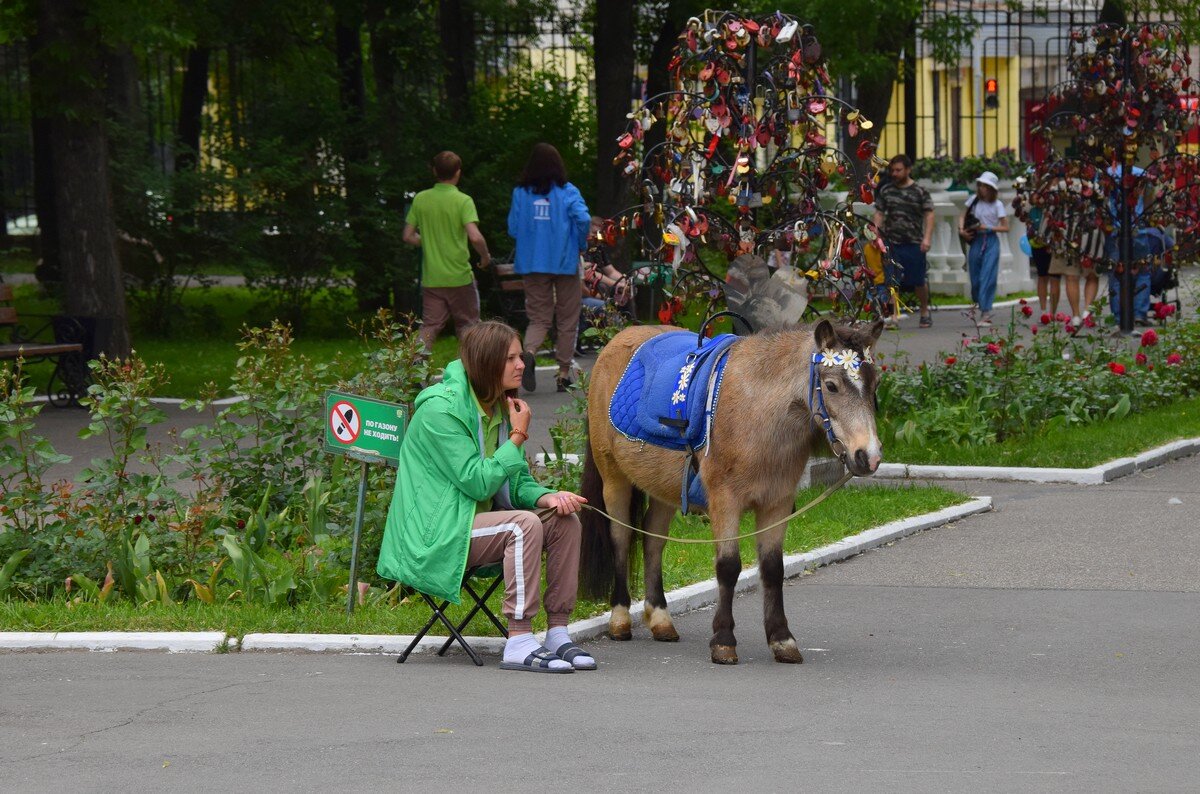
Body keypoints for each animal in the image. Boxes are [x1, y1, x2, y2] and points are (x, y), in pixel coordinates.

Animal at [576, 319, 888, 666]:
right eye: (831, 386)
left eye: (874, 384)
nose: (869, 456)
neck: (758, 412)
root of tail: (617, 341)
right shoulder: (725, 503)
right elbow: (728, 567)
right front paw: (724, 641)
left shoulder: (776, 505)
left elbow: (772, 568)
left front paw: (781, 639)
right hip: (613, 478)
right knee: (620, 536)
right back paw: (619, 619)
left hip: (663, 488)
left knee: (653, 539)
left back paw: (660, 619)